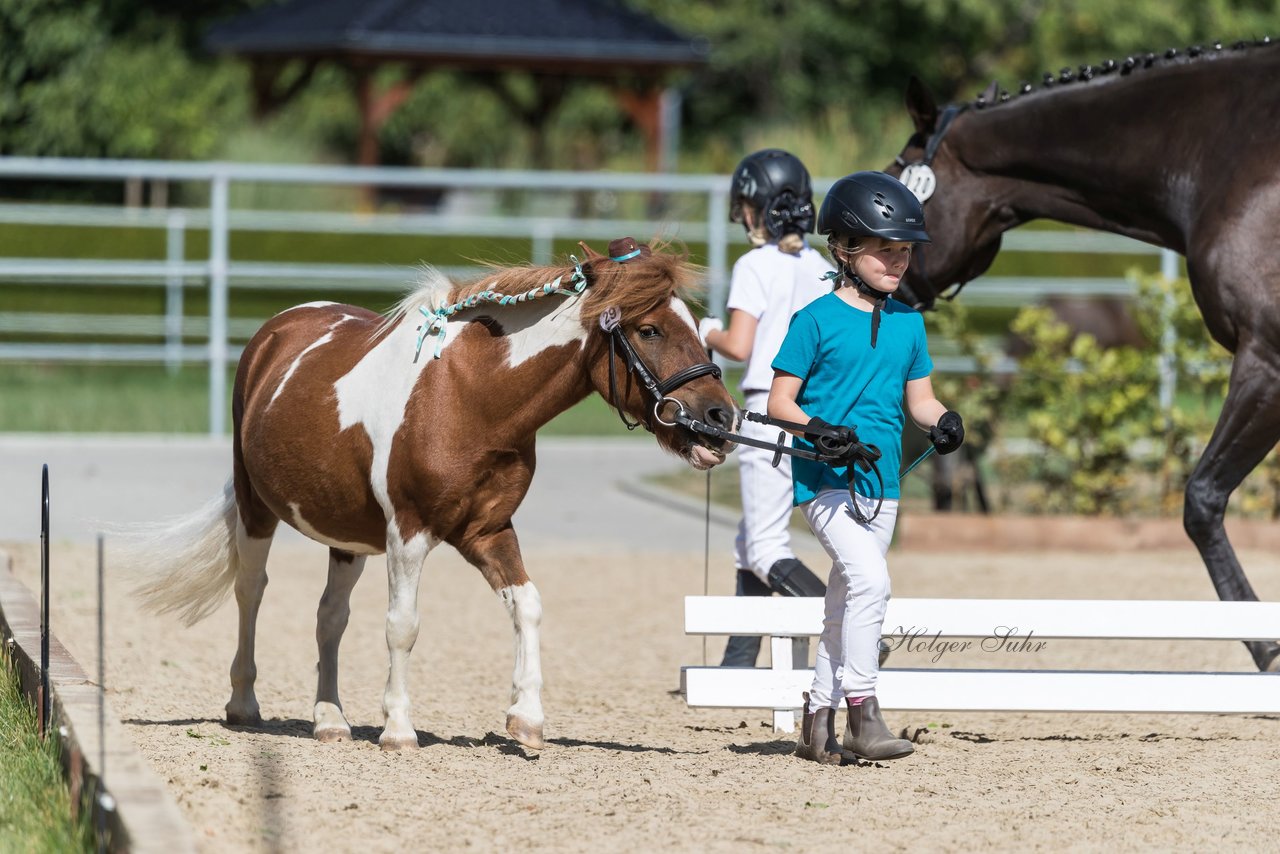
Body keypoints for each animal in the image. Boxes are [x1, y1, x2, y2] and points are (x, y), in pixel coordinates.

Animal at [127, 239, 742, 747]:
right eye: (650, 330)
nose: (721, 418)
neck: (470, 397)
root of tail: (276, 332)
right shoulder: (410, 533)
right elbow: (403, 626)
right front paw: (399, 729)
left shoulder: (487, 531)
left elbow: (528, 606)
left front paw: (526, 717)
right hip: (257, 510)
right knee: (250, 592)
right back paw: (244, 703)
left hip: (347, 536)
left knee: (330, 616)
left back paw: (330, 720)